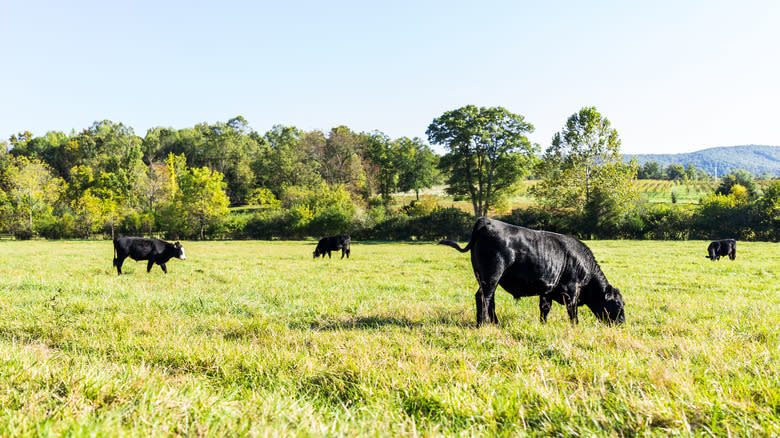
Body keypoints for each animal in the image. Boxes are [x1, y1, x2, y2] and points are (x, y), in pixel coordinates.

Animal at [438, 218, 628, 326]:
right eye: (618, 306)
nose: (622, 324)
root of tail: (485, 221)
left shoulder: (548, 289)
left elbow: (545, 309)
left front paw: (543, 325)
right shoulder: (572, 290)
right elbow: (572, 312)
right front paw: (575, 327)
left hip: (484, 276)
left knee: (490, 299)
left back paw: (495, 323)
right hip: (491, 276)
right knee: (483, 297)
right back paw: (482, 324)